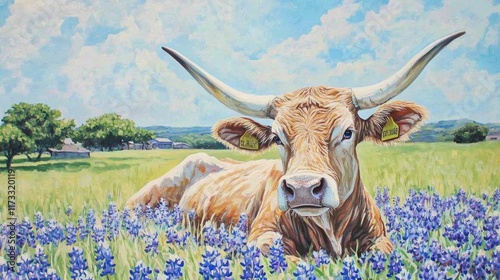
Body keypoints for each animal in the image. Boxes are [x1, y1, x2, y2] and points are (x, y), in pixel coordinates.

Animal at [128, 31, 464, 258]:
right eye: (278, 137)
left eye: (348, 132)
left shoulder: (382, 240)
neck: (330, 230)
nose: (303, 188)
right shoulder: (261, 237)